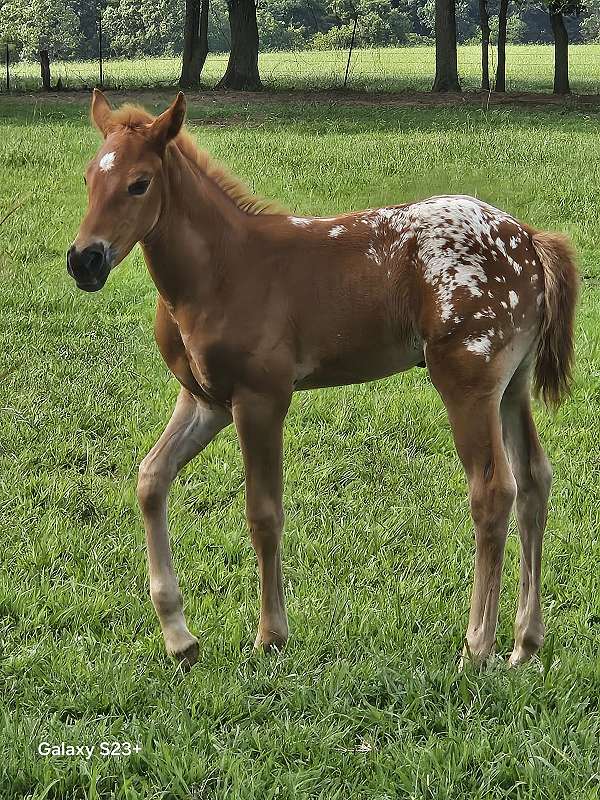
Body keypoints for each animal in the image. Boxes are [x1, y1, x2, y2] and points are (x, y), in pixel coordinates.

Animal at [67, 91, 578, 669]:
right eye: (89, 176)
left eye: (140, 183)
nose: (85, 260)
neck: (223, 269)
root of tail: (530, 241)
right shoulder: (205, 401)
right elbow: (152, 479)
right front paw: (179, 637)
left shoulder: (260, 400)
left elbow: (263, 513)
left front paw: (271, 636)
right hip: (512, 387)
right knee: (534, 481)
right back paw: (524, 643)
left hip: (468, 385)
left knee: (493, 490)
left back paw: (478, 646)